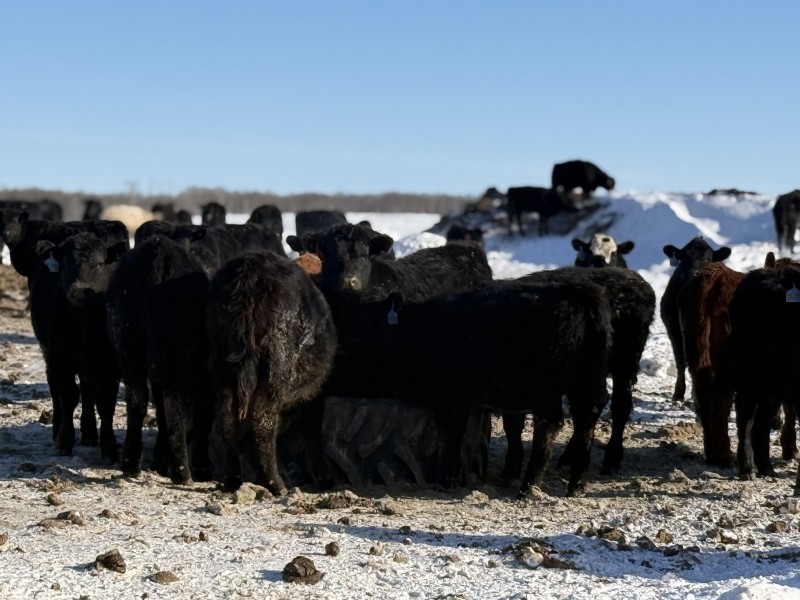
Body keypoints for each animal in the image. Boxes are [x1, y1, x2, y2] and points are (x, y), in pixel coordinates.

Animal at [30, 232, 128, 459]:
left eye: (100, 263)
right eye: (65, 264)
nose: (80, 291)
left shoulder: (111, 364)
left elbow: (105, 402)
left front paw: (109, 447)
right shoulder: (60, 357)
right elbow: (68, 397)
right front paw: (64, 441)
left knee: (88, 392)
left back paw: (90, 433)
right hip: (50, 356)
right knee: (56, 391)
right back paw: (57, 430)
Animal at [105, 235, 213, 483]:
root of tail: (159, 251)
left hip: (129, 345)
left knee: (138, 398)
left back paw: (132, 463)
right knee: (172, 406)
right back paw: (182, 472)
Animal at [206, 251, 337, 494]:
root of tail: (251, 273)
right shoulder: (314, 395)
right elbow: (312, 430)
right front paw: (326, 478)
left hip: (221, 367)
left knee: (227, 420)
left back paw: (233, 480)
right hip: (276, 369)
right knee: (263, 421)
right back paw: (277, 484)